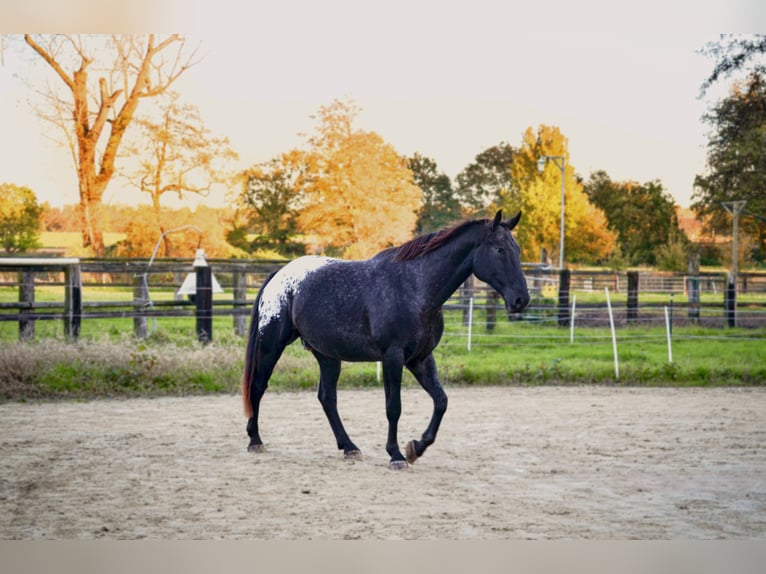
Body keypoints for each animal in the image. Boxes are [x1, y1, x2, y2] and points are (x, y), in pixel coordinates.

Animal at [243, 209, 532, 470]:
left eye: (516, 250)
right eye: (500, 250)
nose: (521, 300)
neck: (415, 287)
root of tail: (278, 275)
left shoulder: (420, 359)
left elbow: (441, 401)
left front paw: (416, 447)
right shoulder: (393, 357)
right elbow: (394, 407)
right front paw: (396, 455)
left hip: (327, 355)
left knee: (327, 398)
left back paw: (350, 447)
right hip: (271, 345)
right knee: (258, 386)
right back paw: (255, 440)